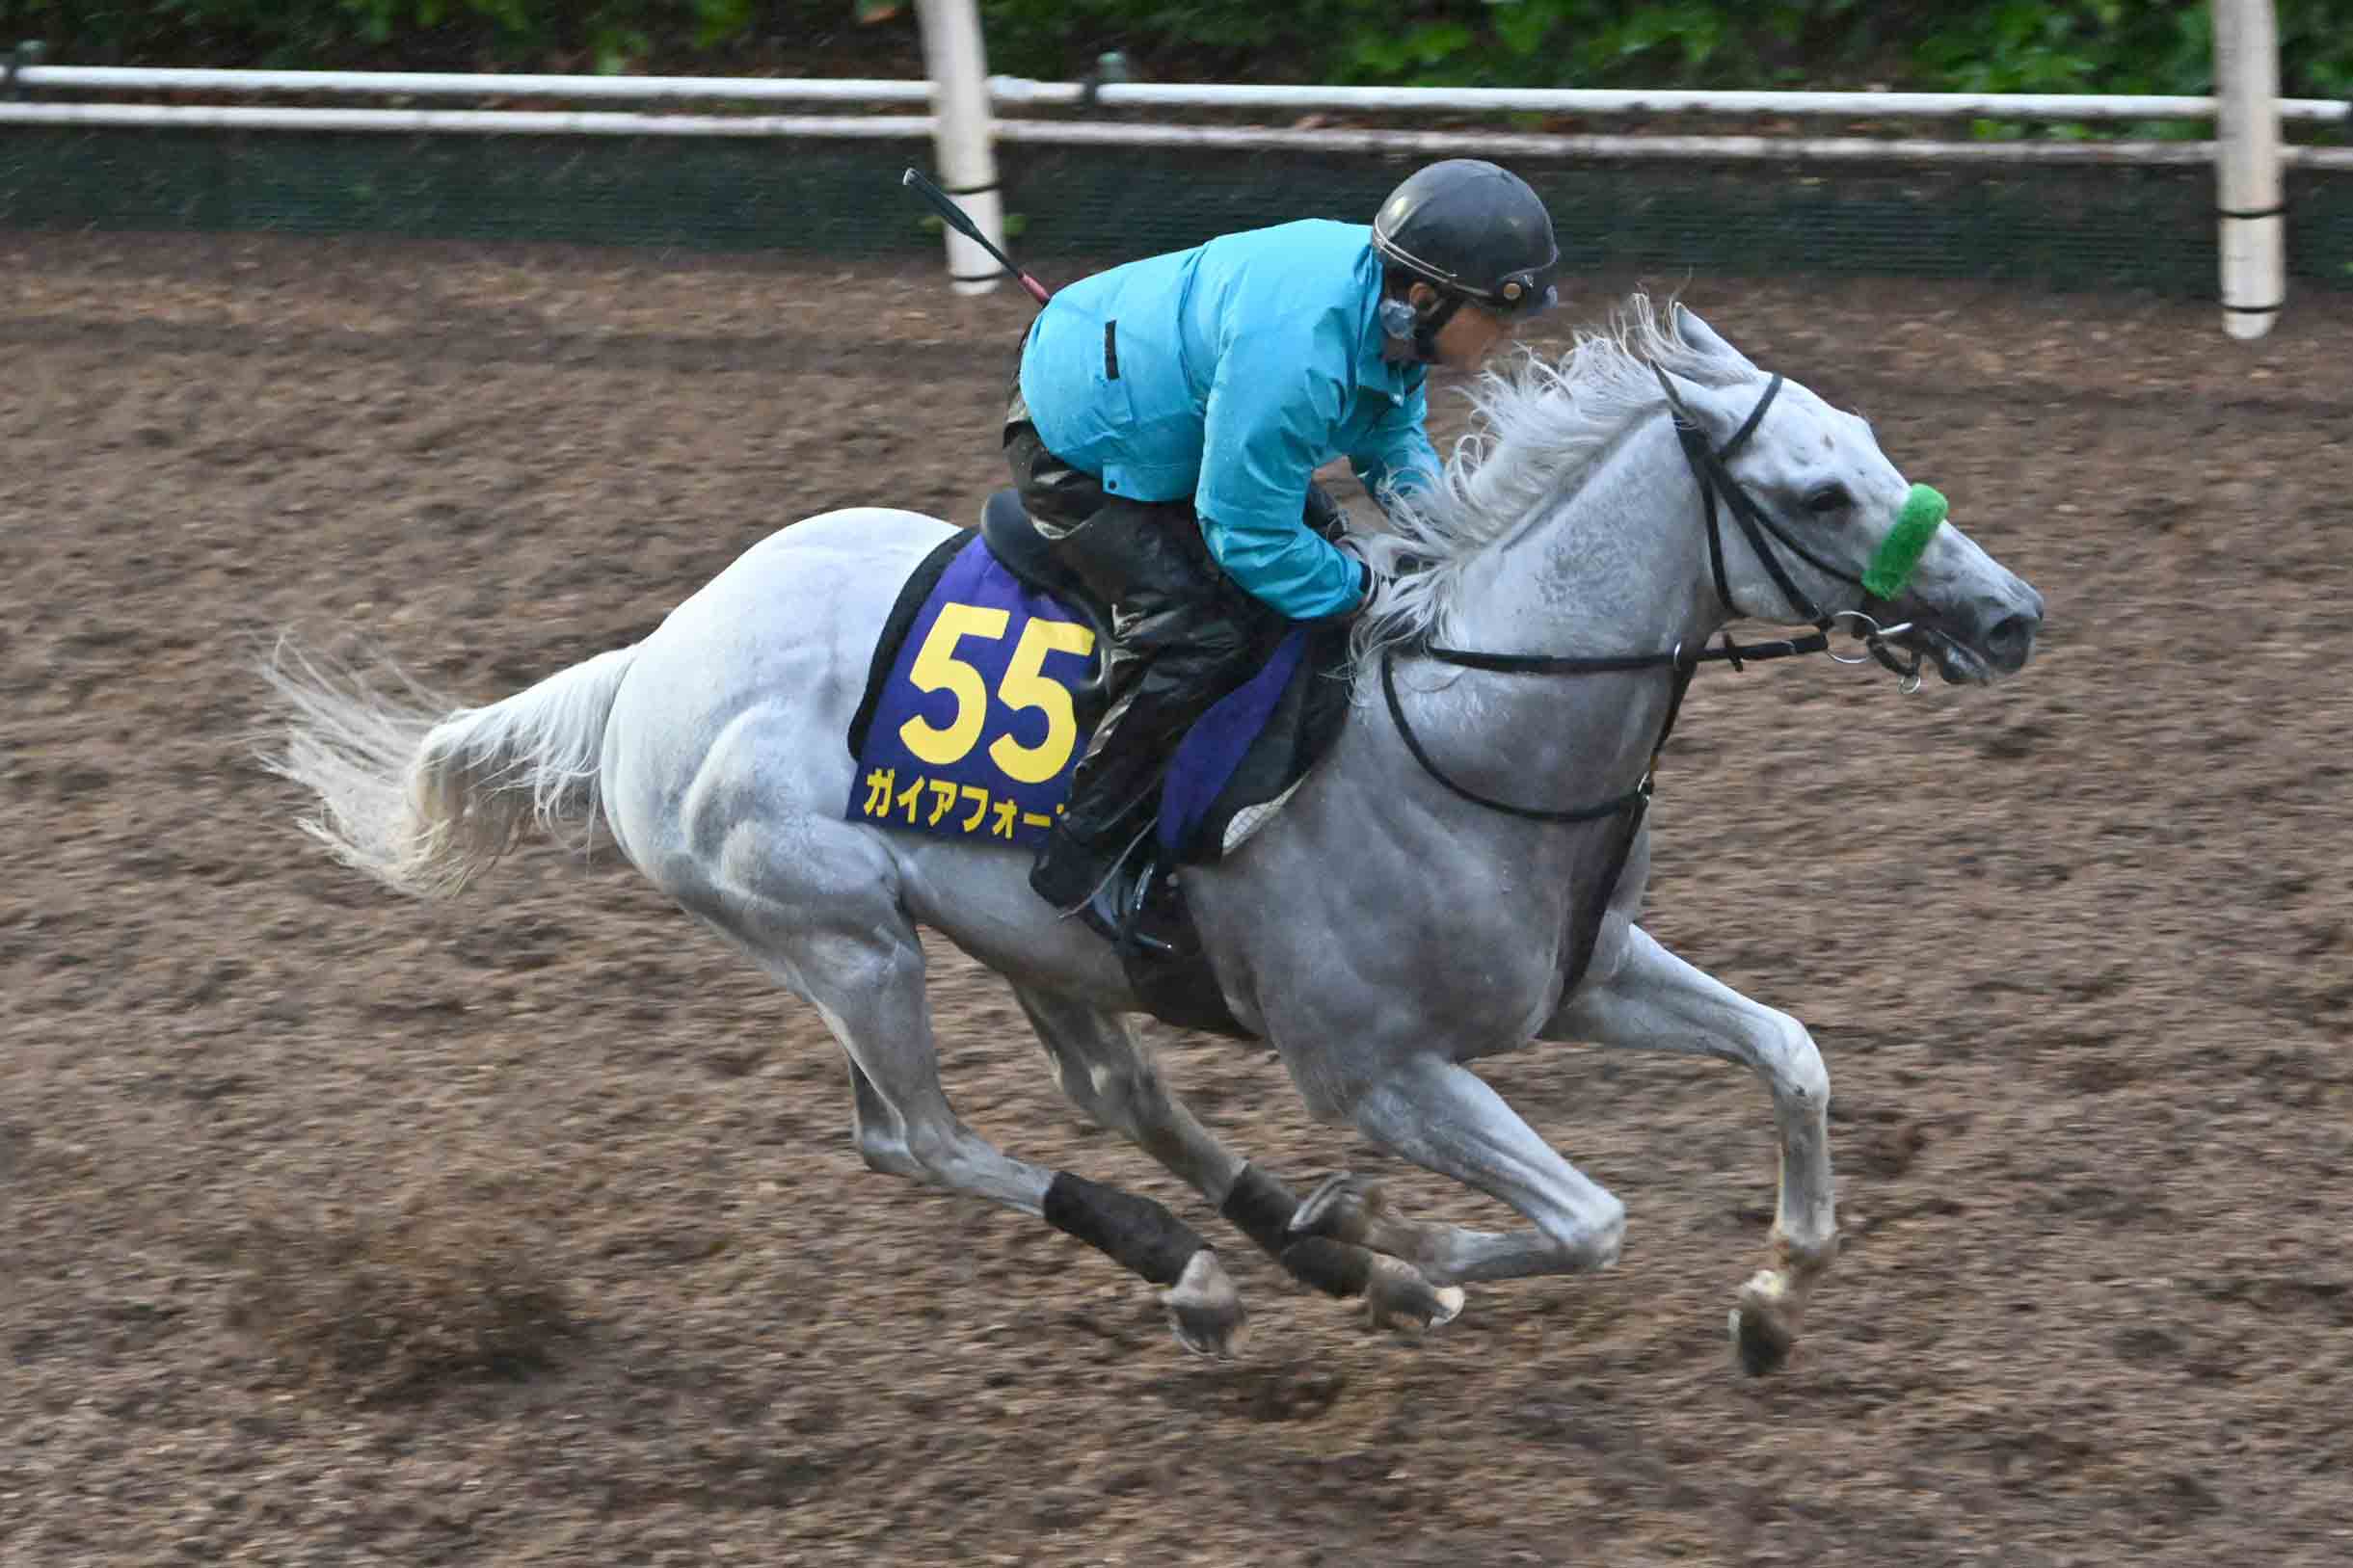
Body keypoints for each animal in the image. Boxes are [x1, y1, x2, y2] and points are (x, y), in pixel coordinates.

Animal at [261, 297, 2043, 1374]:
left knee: (1109, 1088)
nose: (2009, 615)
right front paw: (1403, 1242)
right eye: (1816, 493)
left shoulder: (1583, 976)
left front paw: (1771, 1295)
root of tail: (651, 660)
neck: (1468, 730)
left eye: (1872, 444)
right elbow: (1586, 1218)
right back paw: (1200, 1265)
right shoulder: (1373, 1069)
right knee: (916, 1138)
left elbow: (1793, 1053)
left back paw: (1272, 1239)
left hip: (1025, 933)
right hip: (843, 939)